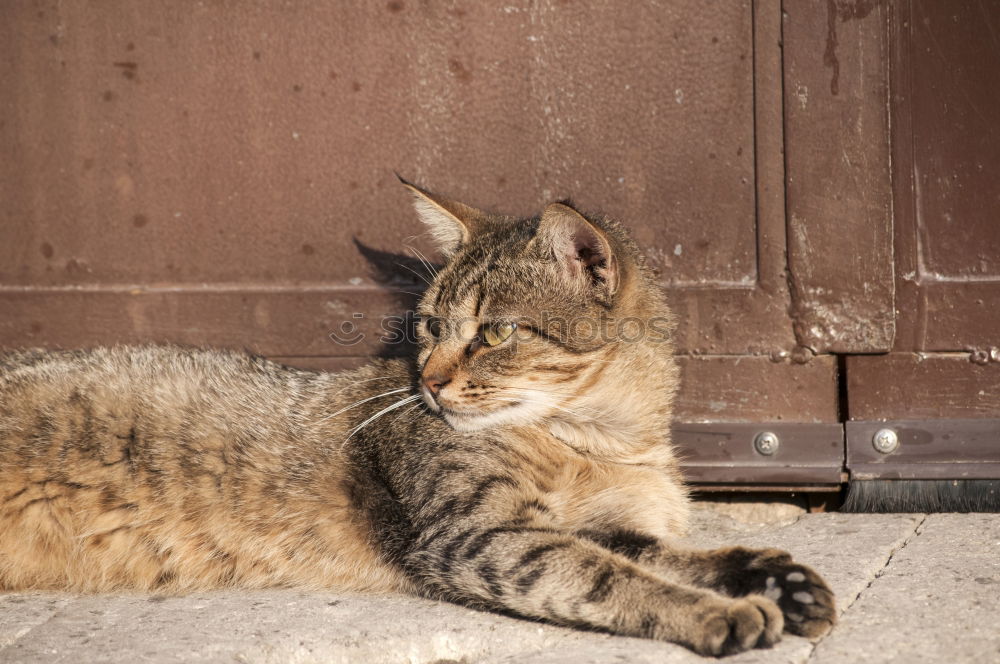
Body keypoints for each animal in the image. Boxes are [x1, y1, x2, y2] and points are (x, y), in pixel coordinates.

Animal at [0, 180, 836, 652]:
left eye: (494, 332)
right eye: (431, 325)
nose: (430, 381)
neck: (602, 442)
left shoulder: (598, 524)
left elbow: (667, 552)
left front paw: (774, 577)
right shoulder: (480, 538)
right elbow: (610, 577)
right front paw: (715, 614)